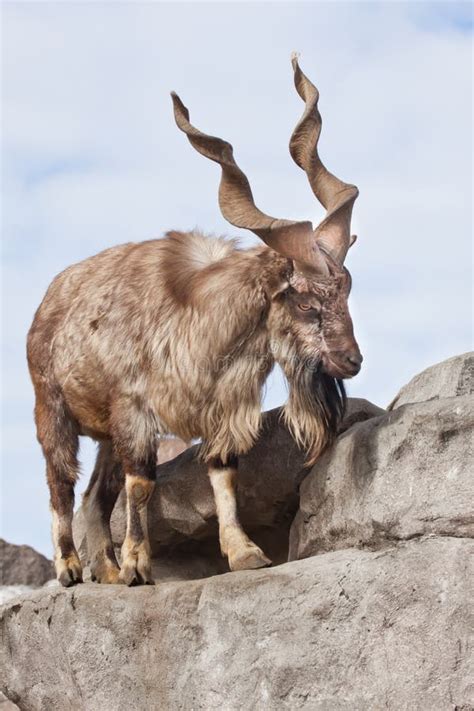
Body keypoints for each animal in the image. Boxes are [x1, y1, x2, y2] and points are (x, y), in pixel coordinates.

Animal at [26, 55, 362, 588]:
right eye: (306, 303)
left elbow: (223, 473)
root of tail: (49, 301)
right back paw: (72, 567)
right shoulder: (134, 411)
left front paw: (244, 553)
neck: (199, 325)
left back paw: (106, 568)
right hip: (52, 407)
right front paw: (139, 566)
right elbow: (141, 484)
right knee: (61, 483)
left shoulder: (219, 411)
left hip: (103, 432)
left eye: (348, 292)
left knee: (95, 496)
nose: (352, 361)